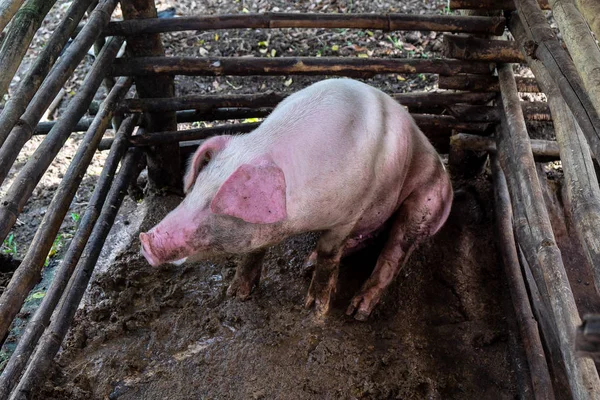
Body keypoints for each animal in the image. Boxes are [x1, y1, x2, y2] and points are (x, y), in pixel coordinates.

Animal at [139, 79, 450, 322]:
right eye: (195, 190)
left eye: (215, 208)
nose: (146, 240)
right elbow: (255, 250)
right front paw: (236, 294)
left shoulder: (351, 212)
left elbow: (329, 254)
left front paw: (315, 310)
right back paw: (306, 265)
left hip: (425, 202)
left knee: (394, 251)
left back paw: (356, 311)